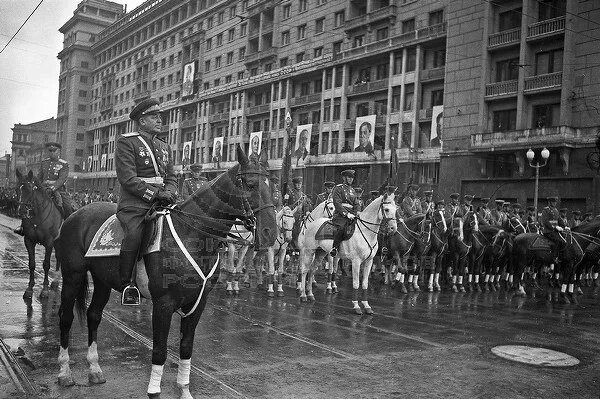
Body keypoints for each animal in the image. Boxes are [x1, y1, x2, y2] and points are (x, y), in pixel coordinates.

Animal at [15, 170, 63, 300]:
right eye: (16, 189)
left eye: (29, 189)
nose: (20, 211)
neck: (37, 215)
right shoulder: (28, 241)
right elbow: (31, 264)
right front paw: (29, 289)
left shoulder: (49, 242)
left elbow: (46, 265)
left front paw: (45, 290)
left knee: (59, 257)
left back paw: (56, 280)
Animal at [54, 148, 276, 398]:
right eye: (250, 184)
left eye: (272, 184)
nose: (270, 233)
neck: (192, 235)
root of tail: (76, 214)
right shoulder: (163, 304)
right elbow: (159, 349)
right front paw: (154, 391)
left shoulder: (198, 303)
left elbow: (186, 347)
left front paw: (184, 389)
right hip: (72, 275)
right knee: (66, 317)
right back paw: (64, 373)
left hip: (102, 280)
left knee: (94, 315)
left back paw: (94, 369)